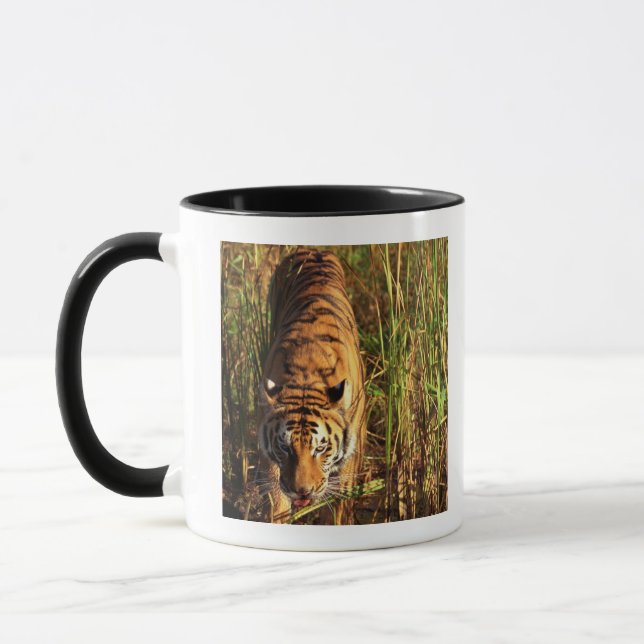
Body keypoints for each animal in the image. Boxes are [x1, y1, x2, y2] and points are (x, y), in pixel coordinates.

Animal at [257, 248, 366, 525]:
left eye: (321, 448)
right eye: (285, 447)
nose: (302, 491)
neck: (306, 378)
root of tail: (314, 249)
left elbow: (338, 507)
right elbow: (277, 498)